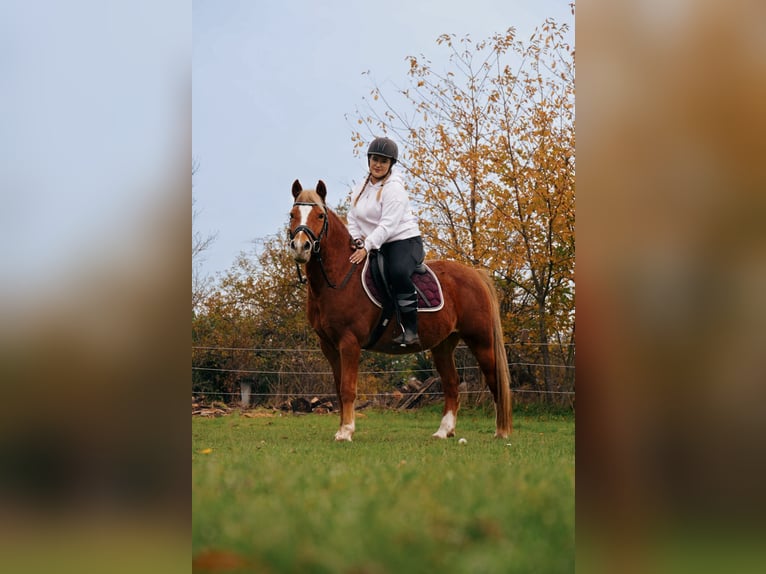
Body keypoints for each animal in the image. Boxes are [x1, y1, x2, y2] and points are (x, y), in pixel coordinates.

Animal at [288, 179, 512, 441]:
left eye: (320, 216)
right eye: (292, 214)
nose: (301, 247)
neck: (341, 276)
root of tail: (475, 274)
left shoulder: (349, 343)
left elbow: (347, 389)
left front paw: (346, 431)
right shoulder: (329, 346)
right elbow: (338, 387)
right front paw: (342, 428)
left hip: (481, 340)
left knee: (494, 380)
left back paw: (501, 432)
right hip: (443, 345)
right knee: (452, 384)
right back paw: (443, 431)